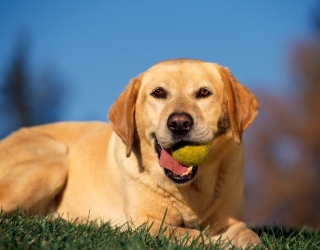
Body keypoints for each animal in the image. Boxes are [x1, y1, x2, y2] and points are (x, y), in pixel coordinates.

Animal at [0, 58, 260, 248]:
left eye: (204, 92)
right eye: (158, 93)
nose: (179, 123)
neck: (190, 190)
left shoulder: (231, 221)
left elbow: (251, 236)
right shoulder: (146, 223)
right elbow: (188, 234)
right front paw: (215, 242)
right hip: (54, 160)